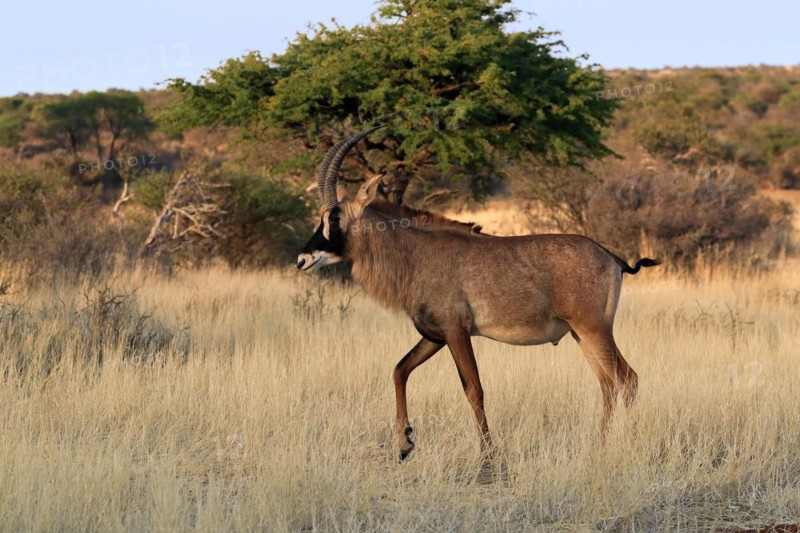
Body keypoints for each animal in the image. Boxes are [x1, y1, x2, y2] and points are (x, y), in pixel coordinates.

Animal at [297, 126, 660, 460]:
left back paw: (622, 444)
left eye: (334, 217)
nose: (303, 259)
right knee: (608, 384)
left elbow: (474, 389)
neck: (417, 253)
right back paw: (600, 445)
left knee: (627, 379)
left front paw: (488, 456)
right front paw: (405, 444)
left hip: (594, 330)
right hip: (580, 334)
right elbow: (400, 370)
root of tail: (612, 258)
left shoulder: (457, 333)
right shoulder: (436, 335)